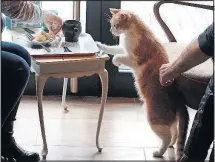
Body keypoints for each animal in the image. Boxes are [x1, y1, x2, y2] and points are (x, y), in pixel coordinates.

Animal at [96, 8, 189, 162]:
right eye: (111, 24)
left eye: (115, 25)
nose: (111, 30)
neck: (131, 33)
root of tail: (179, 100)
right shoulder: (124, 49)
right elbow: (114, 49)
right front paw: (99, 45)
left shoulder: (133, 59)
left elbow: (118, 56)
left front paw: (116, 62)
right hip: (170, 121)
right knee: (175, 132)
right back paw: (171, 145)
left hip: (155, 119)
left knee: (167, 136)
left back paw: (159, 152)